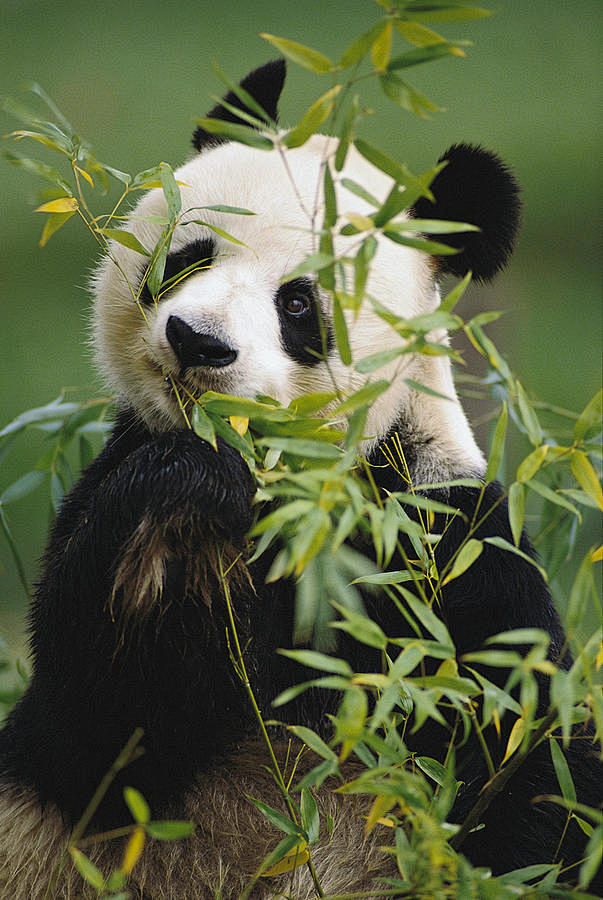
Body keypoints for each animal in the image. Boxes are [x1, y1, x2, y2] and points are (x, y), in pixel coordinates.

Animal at [0, 59, 600, 896]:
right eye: (190, 255)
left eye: (296, 303)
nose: (196, 342)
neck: (293, 487)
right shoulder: (116, 475)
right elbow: (94, 727)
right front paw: (182, 501)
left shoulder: (437, 540)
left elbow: (526, 764)